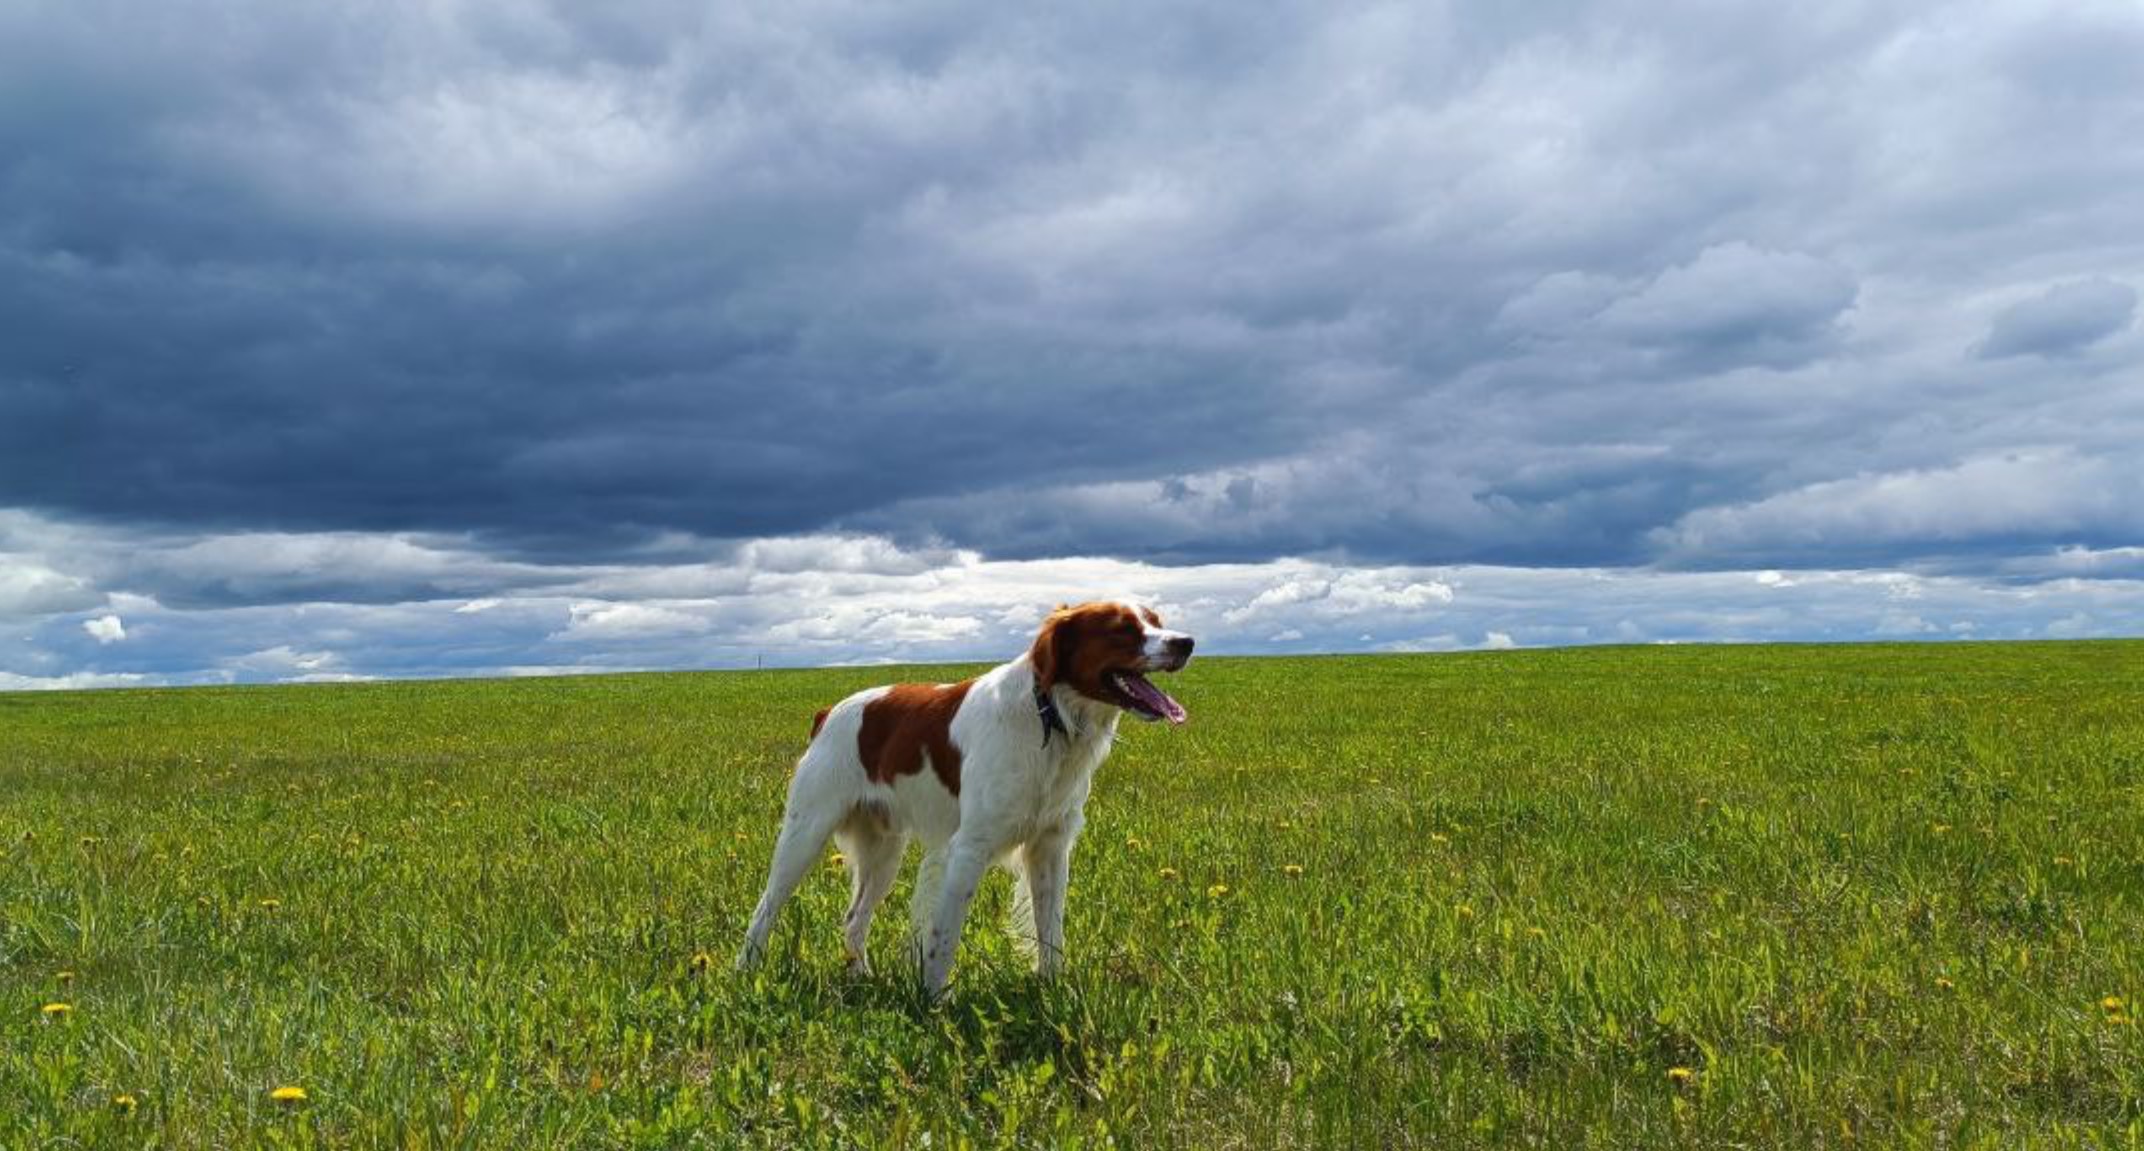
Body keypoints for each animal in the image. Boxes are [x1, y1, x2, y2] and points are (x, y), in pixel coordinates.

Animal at [741, 595, 1200, 990]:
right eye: (1121, 628)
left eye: (1156, 620)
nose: (1186, 642)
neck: (1049, 715)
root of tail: (827, 713)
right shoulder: (967, 848)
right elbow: (943, 940)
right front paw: (931, 1003)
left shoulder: (1050, 846)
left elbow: (1050, 931)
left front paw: (1052, 989)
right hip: (805, 833)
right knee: (764, 910)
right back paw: (746, 973)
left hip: (885, 851)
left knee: (854, 920)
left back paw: (862, 977)